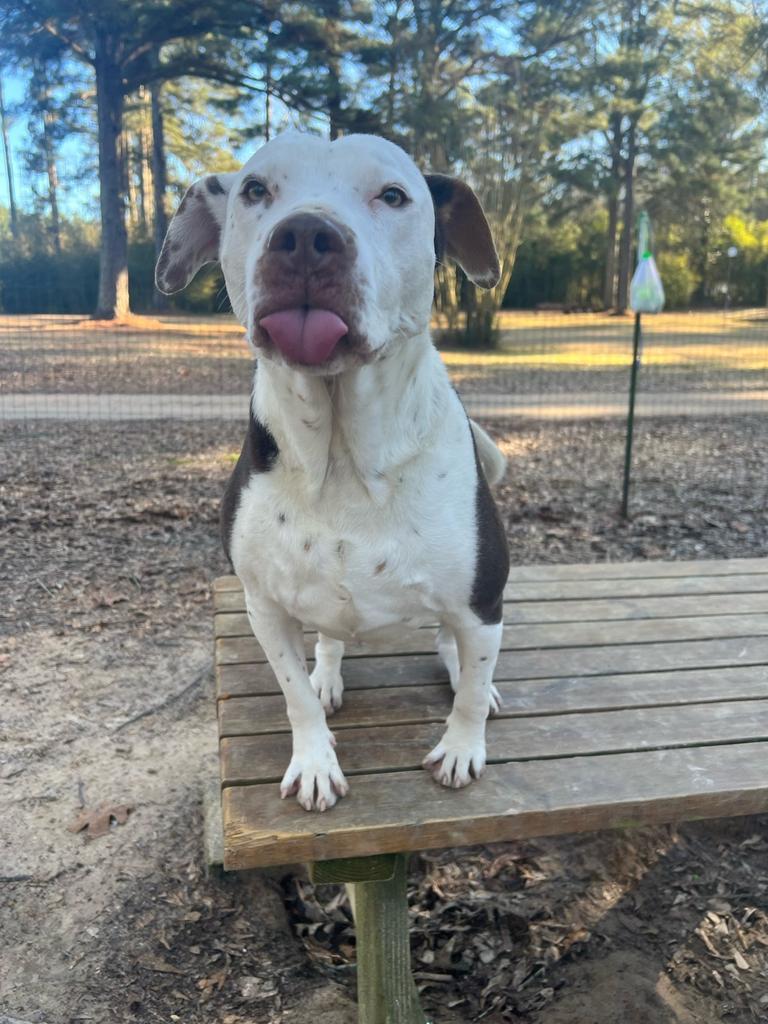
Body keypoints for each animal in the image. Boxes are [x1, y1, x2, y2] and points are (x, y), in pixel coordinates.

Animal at [154, 134, 512, 806]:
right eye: (255, 190)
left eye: (393, 195)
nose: (304, 234)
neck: (344, 453)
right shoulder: (263, 608)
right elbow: (292, 693)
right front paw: (315, 757)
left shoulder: (483, 598)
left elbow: (474, 691)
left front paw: (461, 747)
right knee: (329, 639)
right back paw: (328, 672)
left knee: (453, 645)